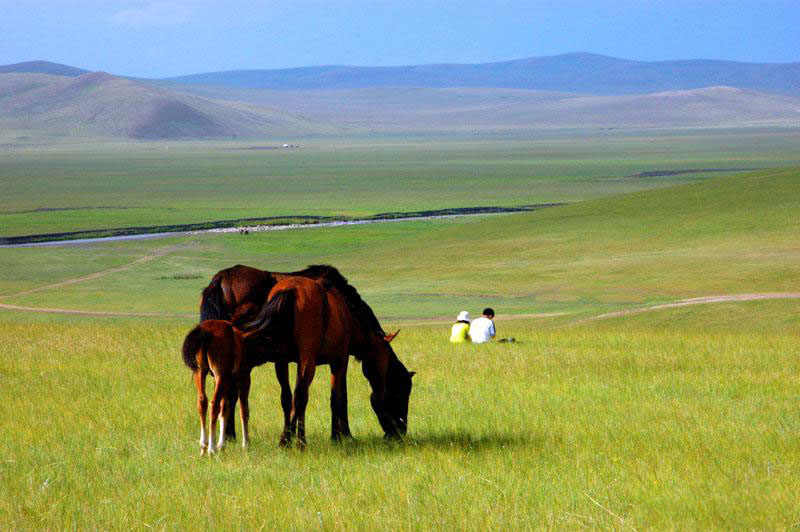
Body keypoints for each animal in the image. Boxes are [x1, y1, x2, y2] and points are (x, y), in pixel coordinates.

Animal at [200, 264, 388, 438]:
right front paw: (345, 434)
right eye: (399, 387)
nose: (392, 434)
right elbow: (341, 395)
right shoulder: (340, 357)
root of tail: (221, 278)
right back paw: (230, 435)